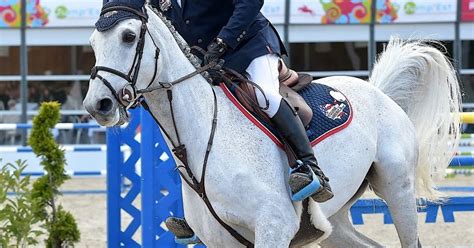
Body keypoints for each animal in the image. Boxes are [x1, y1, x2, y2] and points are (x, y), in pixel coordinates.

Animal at [83, 4, 462, 248]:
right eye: (93, 43)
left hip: (397, 190)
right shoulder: (223, 241)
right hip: (334, 221)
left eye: (129, 36)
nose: (98, 105)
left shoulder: (273, 228)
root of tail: (379, 93)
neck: (206, 139)